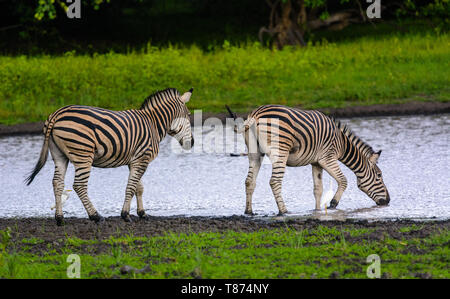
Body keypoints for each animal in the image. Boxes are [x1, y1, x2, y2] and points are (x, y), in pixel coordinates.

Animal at [24, 86, 193, 225]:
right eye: (189, 116)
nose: (192, 143)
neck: (153, 124)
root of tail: (57, 114)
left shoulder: (135, 161)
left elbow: (139, 188)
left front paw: (142, 213)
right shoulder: (142, 158)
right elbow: (131, 187)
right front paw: (125, 215)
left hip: (59, 155)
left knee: (57, 183)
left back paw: (59, 218)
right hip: (83, 154)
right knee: (79, 185)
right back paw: (95, 216)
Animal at [227, 105, 388, 216]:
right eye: (379, 176)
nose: (388, 201)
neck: (342, 144)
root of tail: (255, 115)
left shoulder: (316, 162)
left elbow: (318, 189)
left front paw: (317, 210)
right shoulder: (328, 158)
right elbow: (343, 180)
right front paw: (333, 203)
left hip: (254, 153)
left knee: (249, 181)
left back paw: (249, 211)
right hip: (281, 152)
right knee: (274, 181)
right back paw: (284, 211)